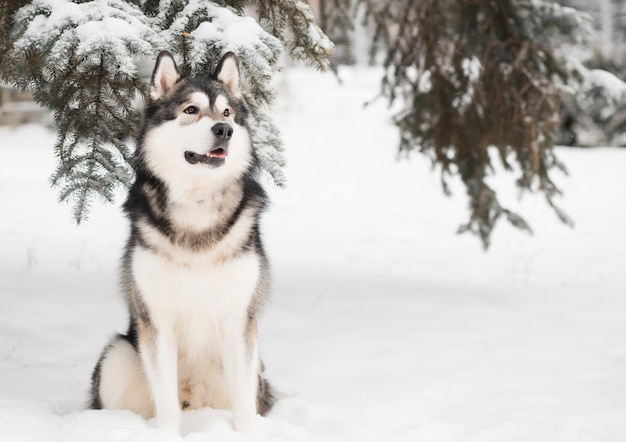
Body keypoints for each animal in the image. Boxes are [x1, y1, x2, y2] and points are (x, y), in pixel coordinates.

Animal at [89, 50, 274, 434]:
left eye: (227, 113)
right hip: (117, 355)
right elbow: (166, 403)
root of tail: (195, 397)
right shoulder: (156, 322)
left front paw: (248, 433)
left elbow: (244, 406)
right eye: (191, 110)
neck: (196, 206)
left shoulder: (239, 320)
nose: (224, 130)